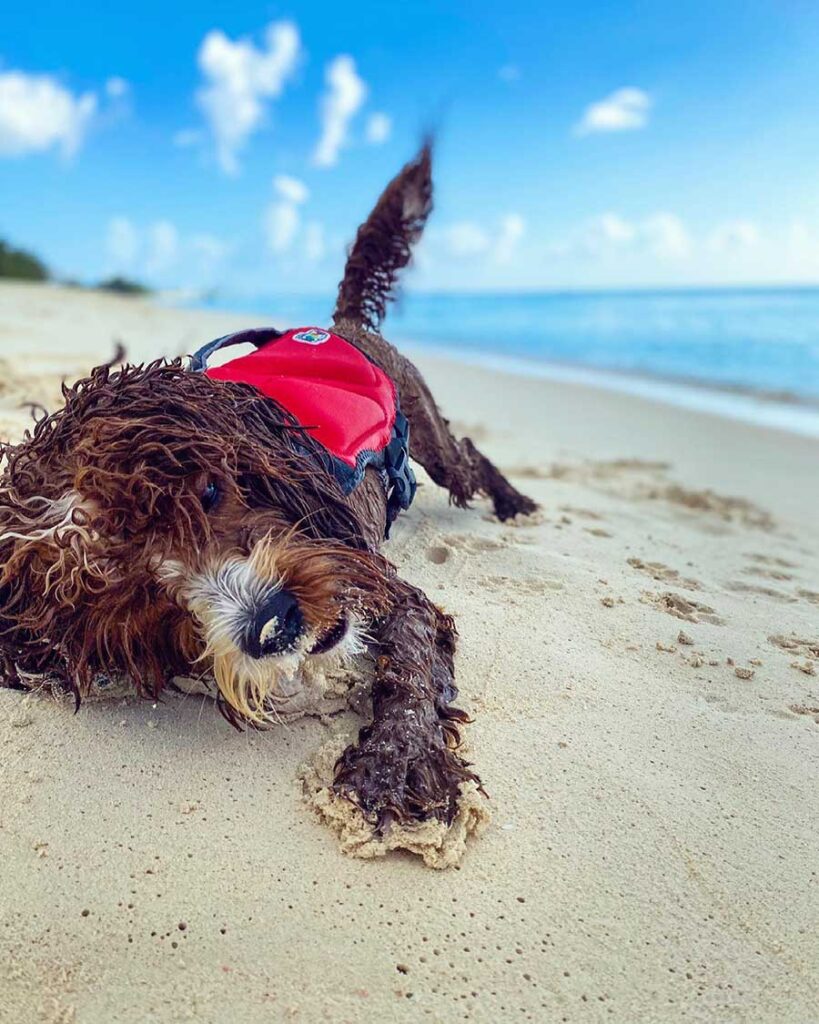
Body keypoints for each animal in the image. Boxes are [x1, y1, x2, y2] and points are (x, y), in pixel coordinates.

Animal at [1, 144, 536, 827]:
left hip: (426, 426)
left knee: (465, 456)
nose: (274, 621)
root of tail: (340, 324)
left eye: (207, 491)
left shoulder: (377, 580)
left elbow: (411, 665)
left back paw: (515, 502)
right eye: (140, 600)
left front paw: (398, 763)